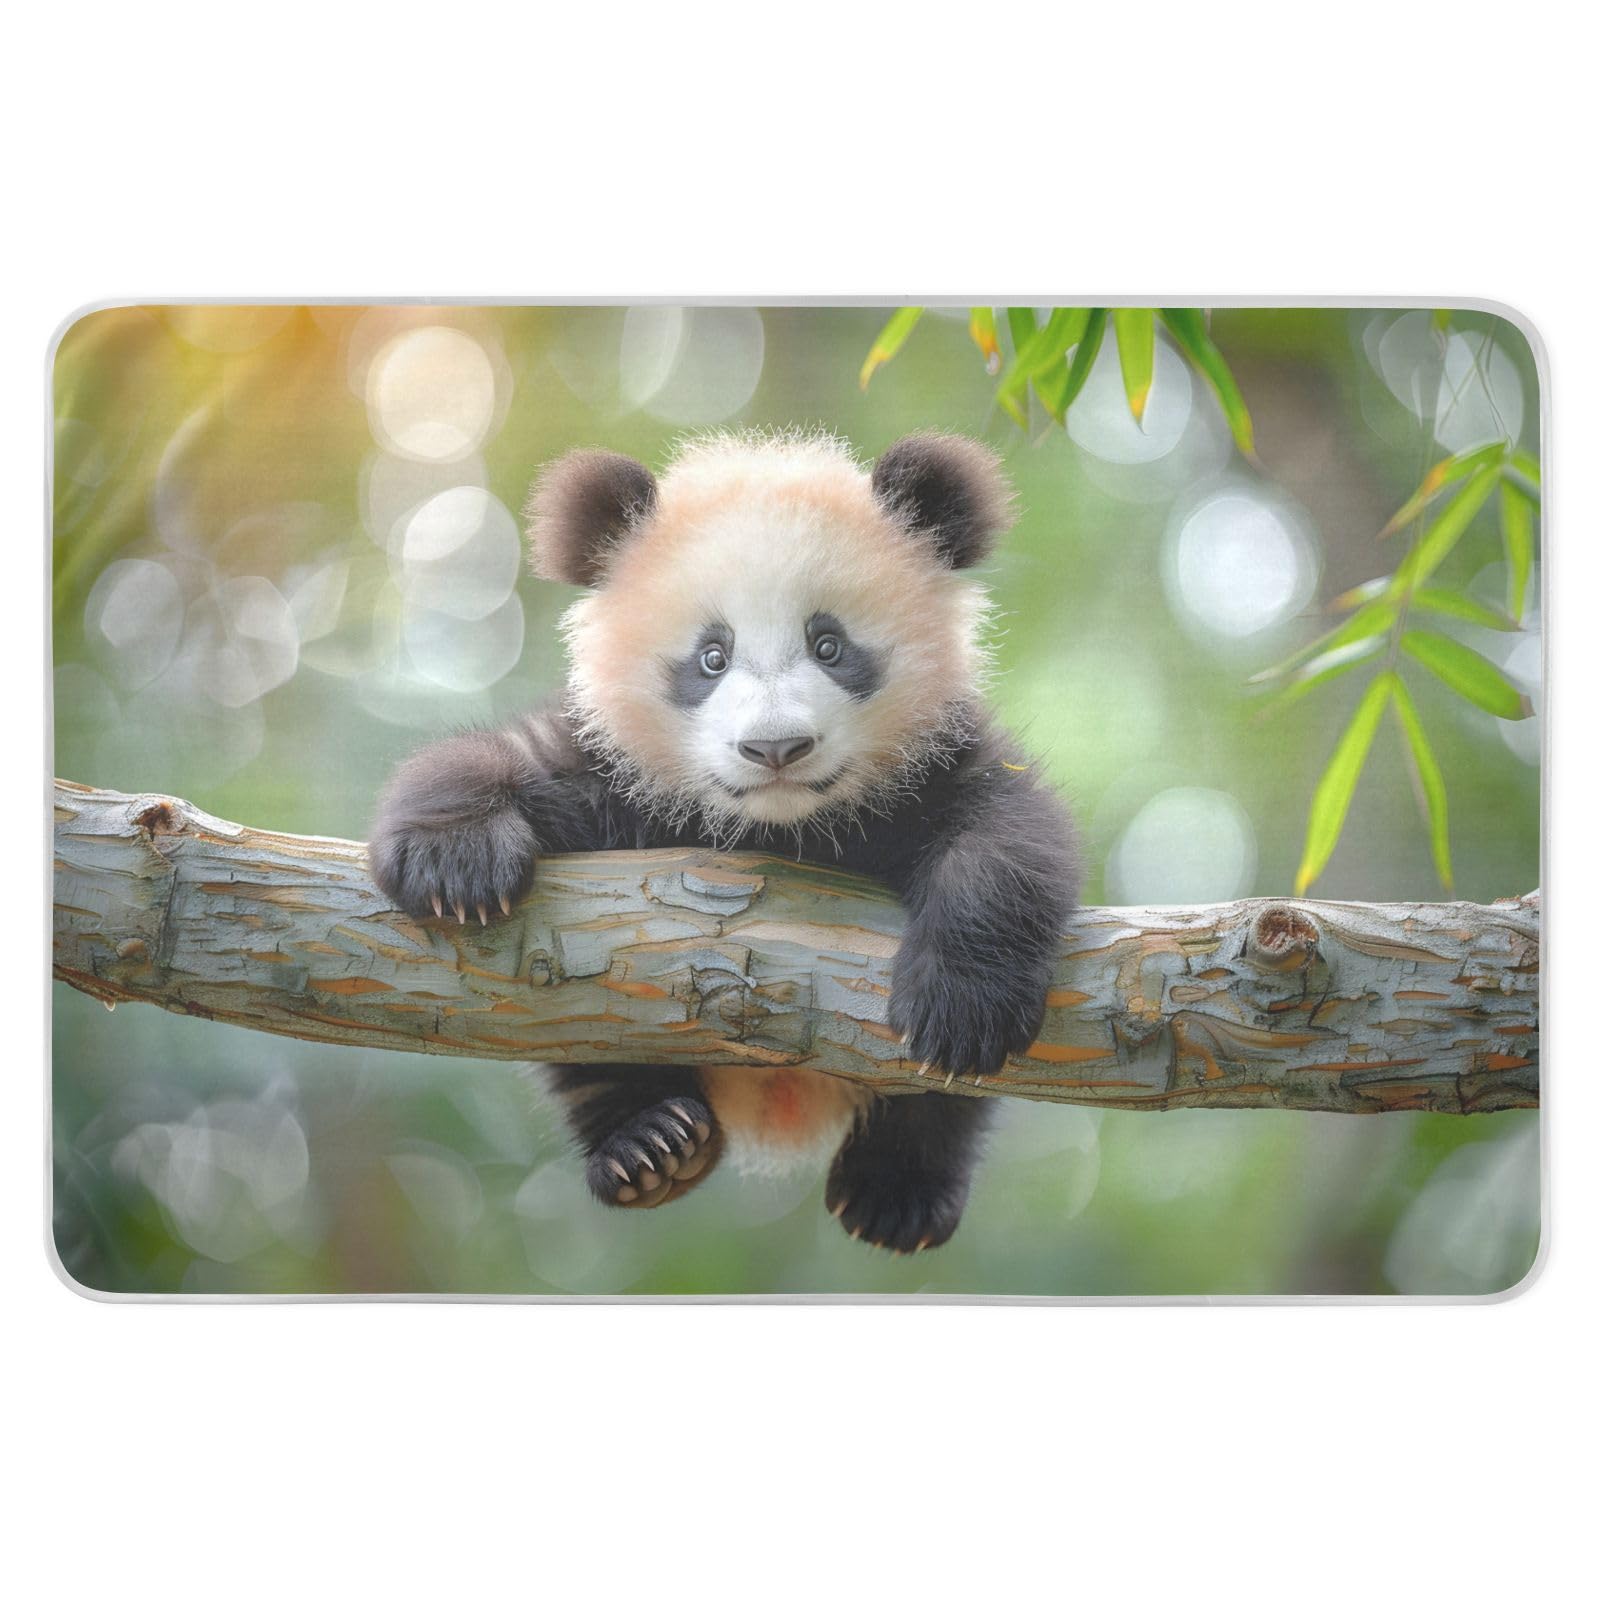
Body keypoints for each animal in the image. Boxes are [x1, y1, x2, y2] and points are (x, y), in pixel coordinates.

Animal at [369, 430, 1079, 1253]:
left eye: (829, 645)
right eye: (711, 656)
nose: (776, 748)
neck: (782, 826)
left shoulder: (938, 763)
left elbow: (1011, 838)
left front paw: (960, 1004)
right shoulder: (613, 776)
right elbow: (498, 756)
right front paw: (455, 863)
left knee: (946, 1106)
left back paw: (896, 1189)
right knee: (579, 1047)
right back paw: (649, 1147)